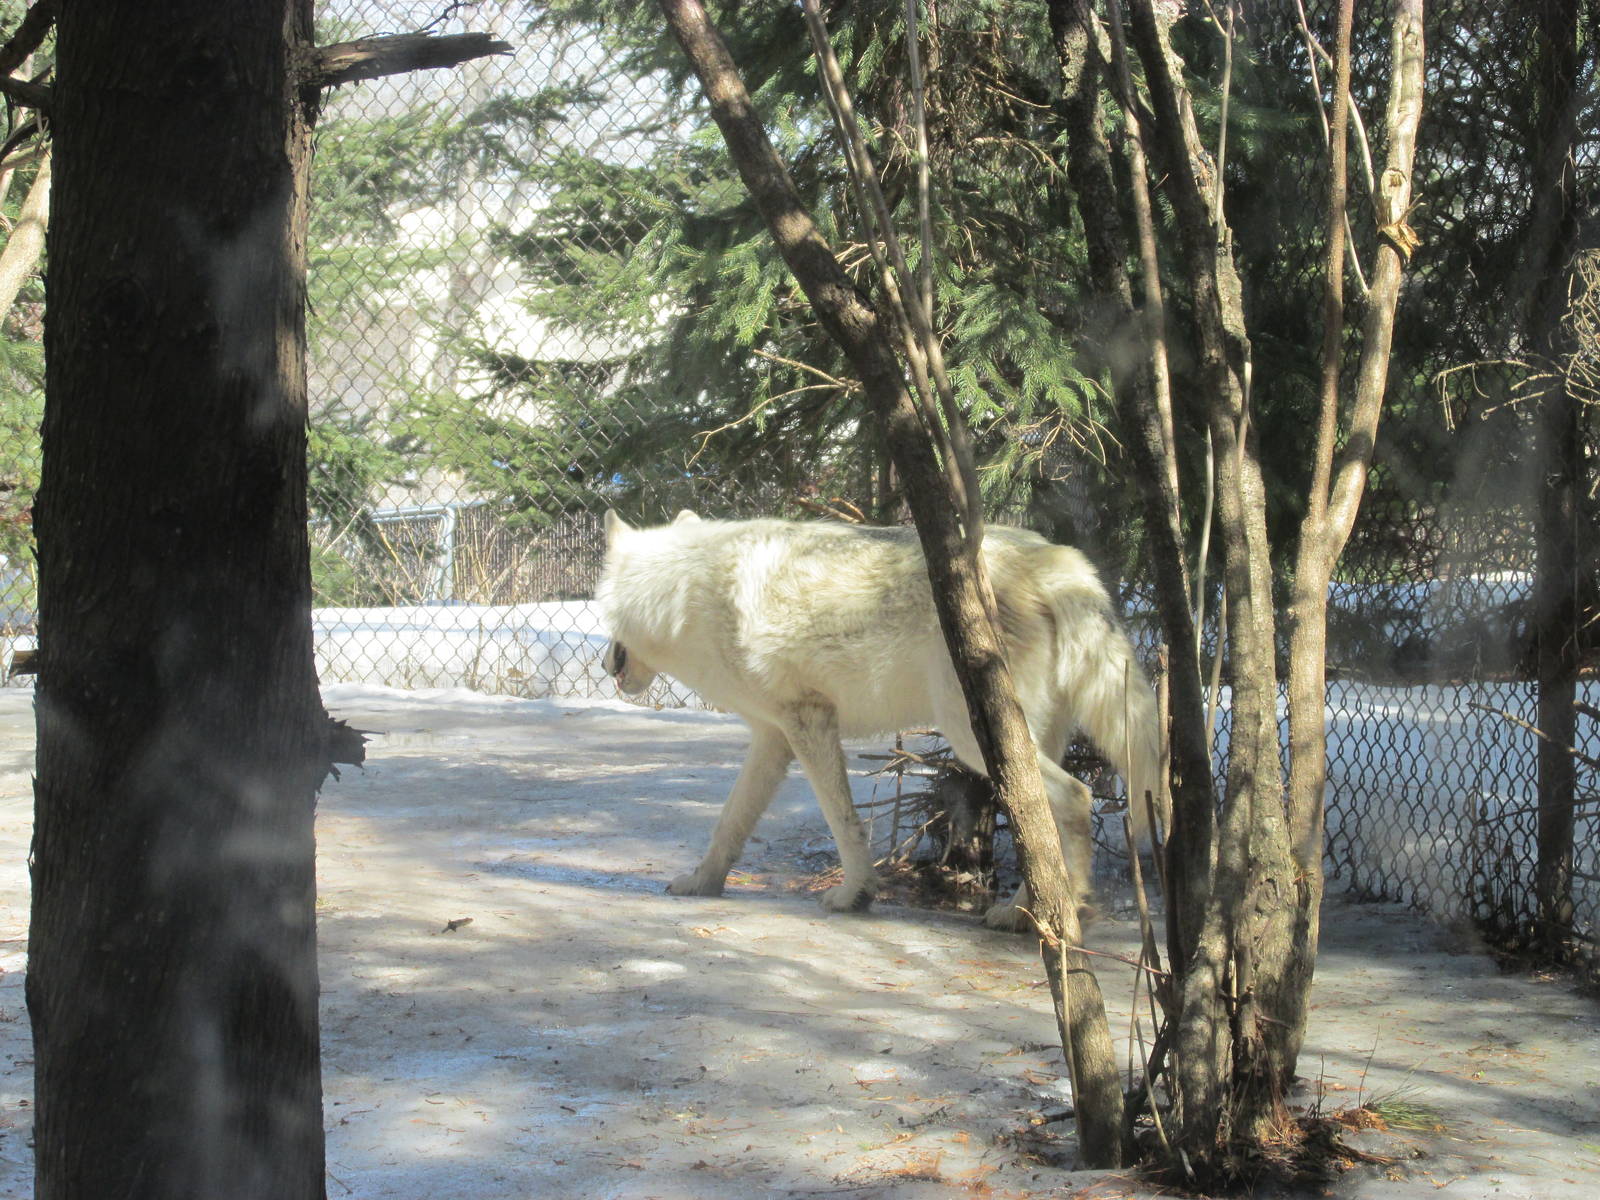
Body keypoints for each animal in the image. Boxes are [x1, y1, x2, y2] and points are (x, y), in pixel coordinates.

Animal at [596, 510, 1162, 928]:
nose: (604, 666)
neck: (685, 592)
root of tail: (1060, 562)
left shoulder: (810, 720)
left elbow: (843, 823)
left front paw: (854, 895)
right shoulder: (773, 737)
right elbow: (729, 823)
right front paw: (703, 884)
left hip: (972, 738)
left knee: (1077, 798)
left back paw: (1061, 913)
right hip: (1017, 744)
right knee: (1044, 823)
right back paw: (1026, 912)